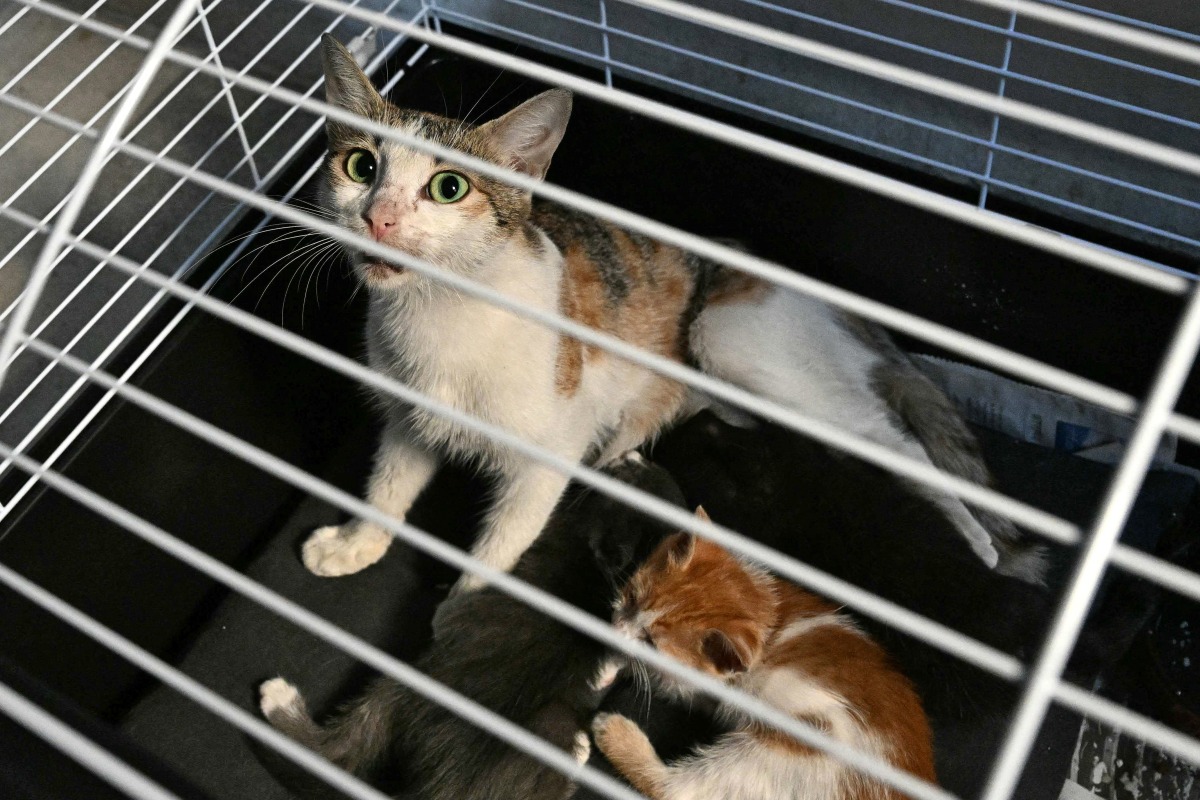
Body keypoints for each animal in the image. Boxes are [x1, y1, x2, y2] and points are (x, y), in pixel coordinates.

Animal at [302, 32, 1041, 594]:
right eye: (360, 166)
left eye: (448, 187)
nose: (380, 217)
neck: (438, 316)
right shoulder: (407, 419)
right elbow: (388, 484)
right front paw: (355, 541)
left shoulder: (547, 457)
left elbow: (496, 553)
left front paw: (443, 652)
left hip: (731, 337)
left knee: (902, 445)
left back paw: (979, 544)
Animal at [595, 513, 940, 800]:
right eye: (631, 598)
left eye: (651, 643)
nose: (615, 628)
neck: (768, 617)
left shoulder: (706, 686)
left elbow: (661, 678)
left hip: (783, 751)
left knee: (679, 790)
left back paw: (614, 733)